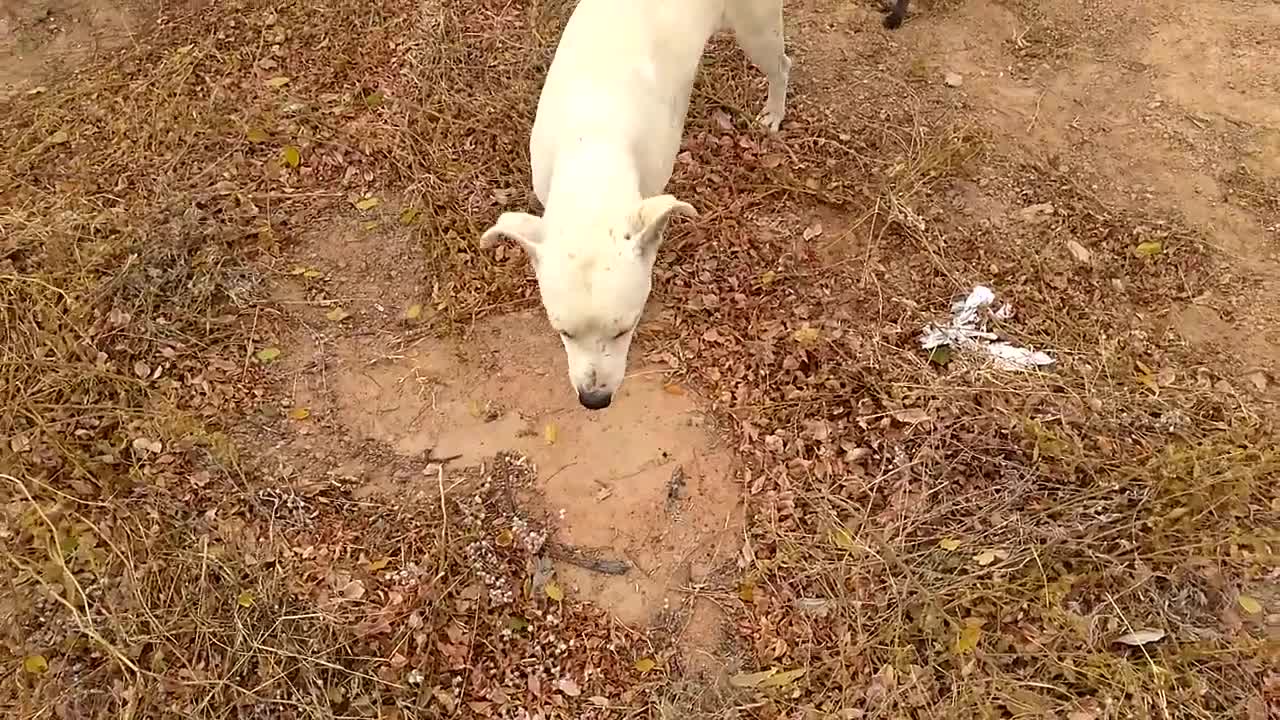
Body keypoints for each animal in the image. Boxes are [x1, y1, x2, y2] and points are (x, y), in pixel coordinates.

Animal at [476, 0, 783, 409]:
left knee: (782, 65)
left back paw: (774, 112)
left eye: (626, 328)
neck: (592, 143)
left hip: (758, 30)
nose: (594, 400)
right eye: (563, 331)